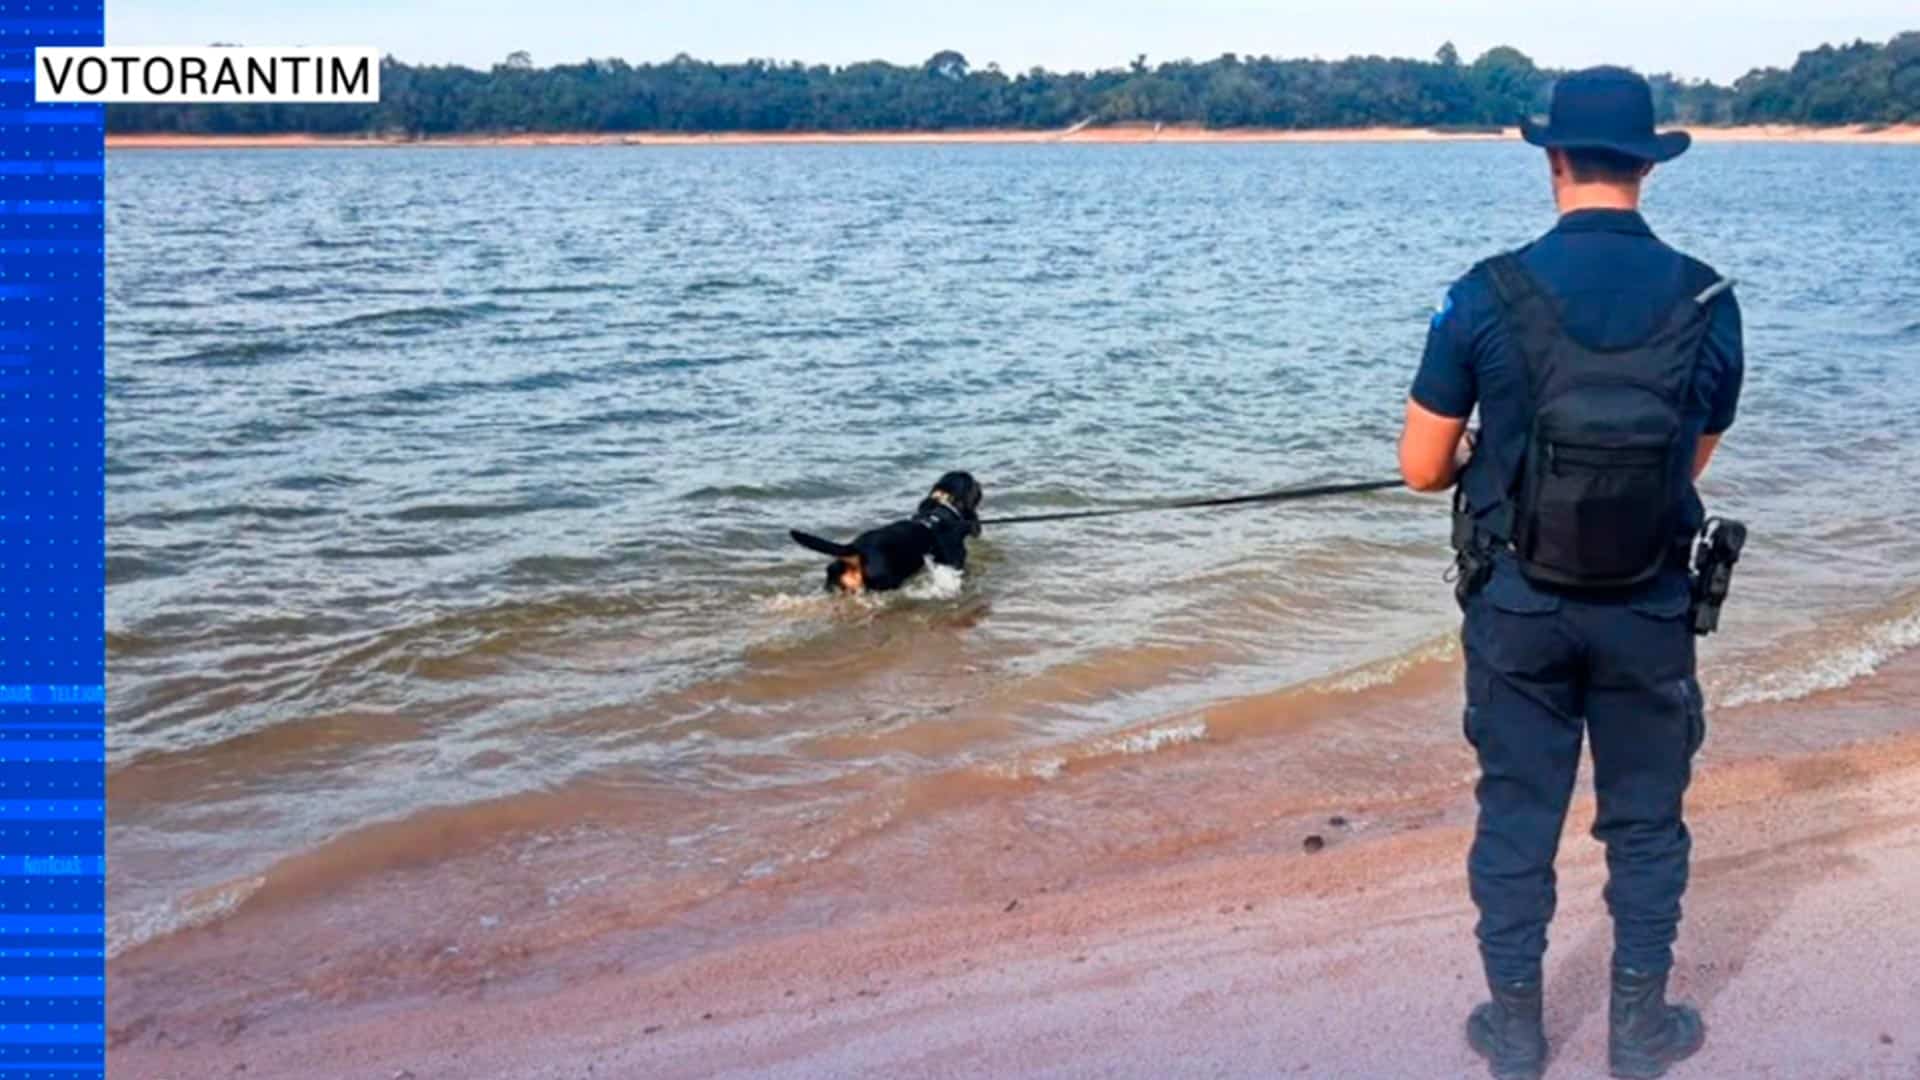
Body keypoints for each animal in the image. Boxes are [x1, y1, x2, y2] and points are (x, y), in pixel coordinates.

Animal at [787, 466, 983, 591]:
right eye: (972, 482)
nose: (980, 484)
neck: (943, 506)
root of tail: (856, 547)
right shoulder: (955, 563)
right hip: (886, 582)